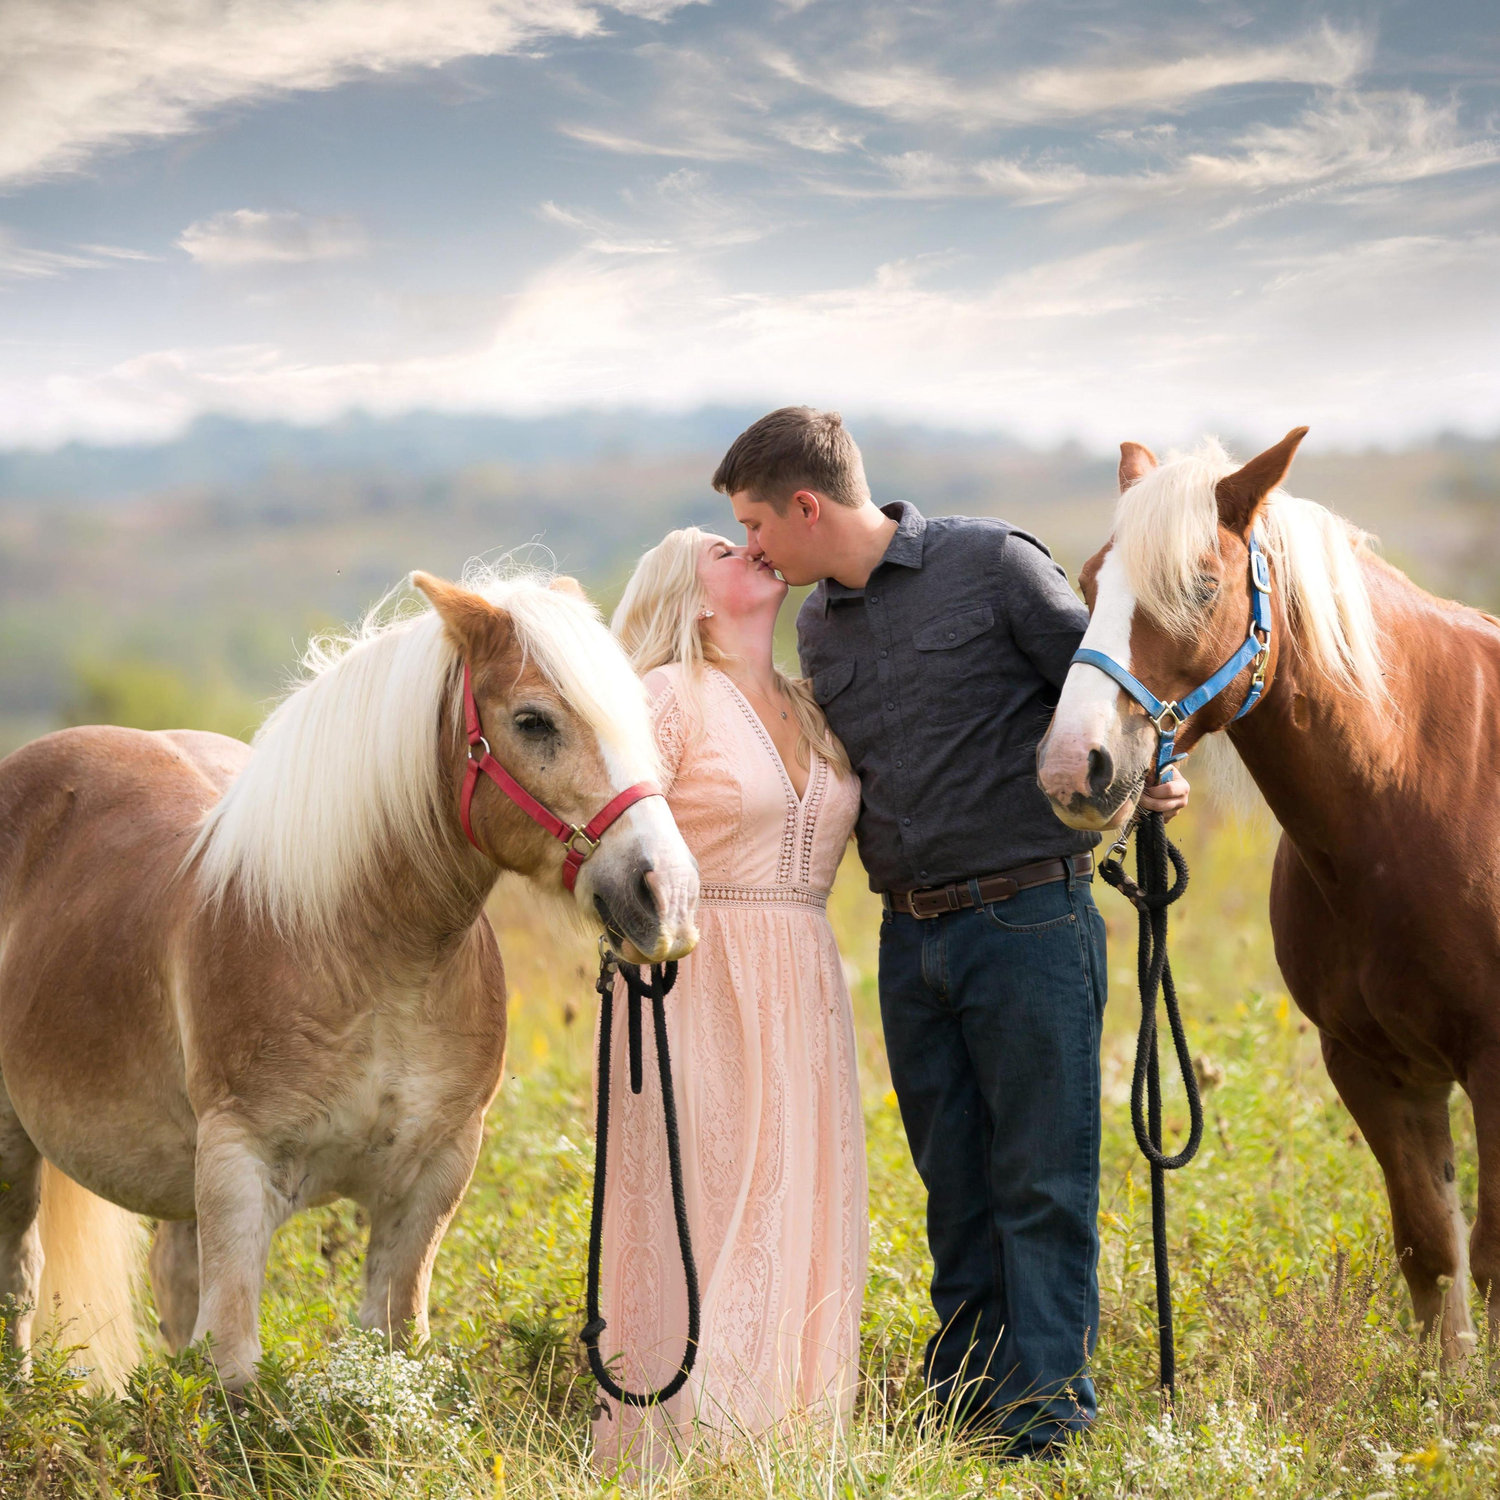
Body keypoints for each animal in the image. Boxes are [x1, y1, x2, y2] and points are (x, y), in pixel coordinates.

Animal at [0, 567, 699, 1391]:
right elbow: (233, 1363)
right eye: (533, 721)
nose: (667, 896)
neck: (364, 958)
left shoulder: (431, 1179)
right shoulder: (239, 1172)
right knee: (22, 1277)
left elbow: (394, 1342)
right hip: (17, 1146)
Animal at [1037, 428, 1500, 1360]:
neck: (1424, 789)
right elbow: (1433, 1253)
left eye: (1202, 586)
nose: (1075, 768)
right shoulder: (1372, 1066)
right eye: (1092, 581)